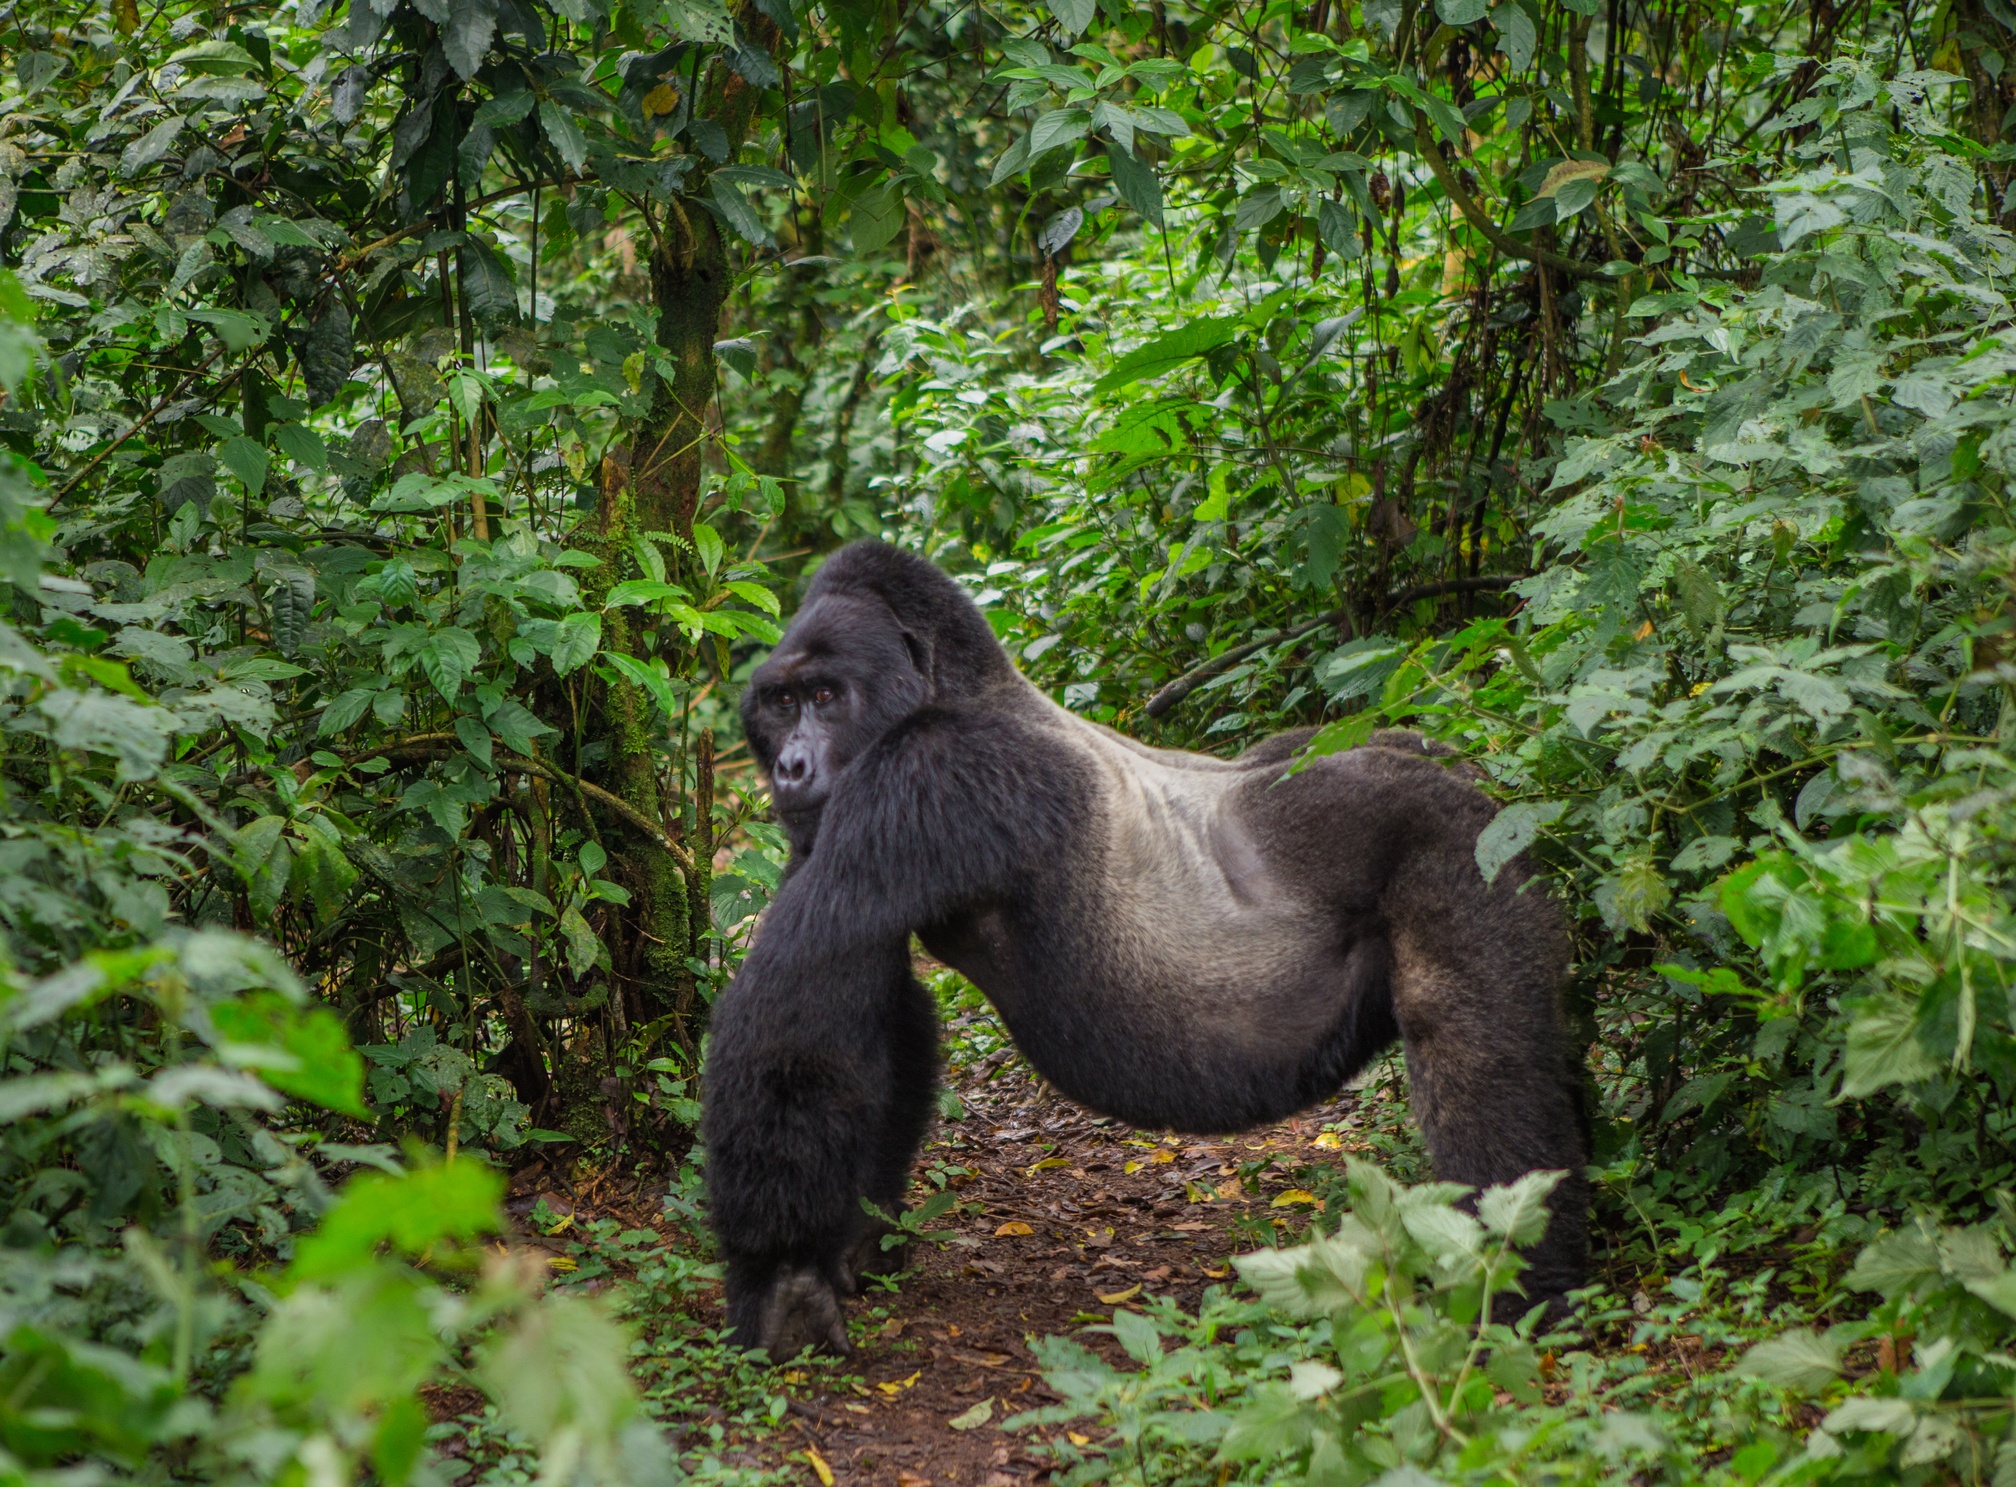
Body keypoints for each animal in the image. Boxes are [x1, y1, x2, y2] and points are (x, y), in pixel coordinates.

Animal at [701, 541, 1585, 1361]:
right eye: (779, 703)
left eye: (824, 696)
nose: (790, 766)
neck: (963, 685)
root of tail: (1479, 777)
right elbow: (883, 1015)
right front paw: (850, 1240)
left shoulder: (930, 771)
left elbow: (803, 1004)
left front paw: (782, 1278)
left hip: (1460, 839)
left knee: (1476, 1048)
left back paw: (1517, 1291)